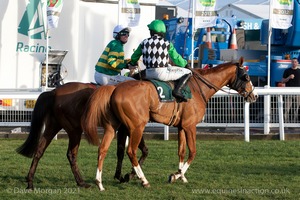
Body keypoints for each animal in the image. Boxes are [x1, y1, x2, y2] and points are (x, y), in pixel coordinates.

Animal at [16, 81, 148, 189]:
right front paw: (129, 175)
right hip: (75, 130)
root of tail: (54, 92)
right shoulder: (131, 129)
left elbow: (128, 151)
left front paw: (125, 175)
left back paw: (30, 182)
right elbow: (135, 151)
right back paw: (81, 182)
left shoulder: (127, 129)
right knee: (71, 154)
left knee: (39, 150)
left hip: (53, 126)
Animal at [82, 56, 258, 191]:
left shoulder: (181, 127)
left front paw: (182, 176)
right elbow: (193, 152)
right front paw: (176, 175)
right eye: (247, 77)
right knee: (130, 151)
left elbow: (181, 151)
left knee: (102, 149)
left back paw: (99, 183)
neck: (198, 88)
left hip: (113, 127)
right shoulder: (190, 126)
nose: (254, 96)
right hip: (137, 126)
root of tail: (115, 88)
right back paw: (143, 180)